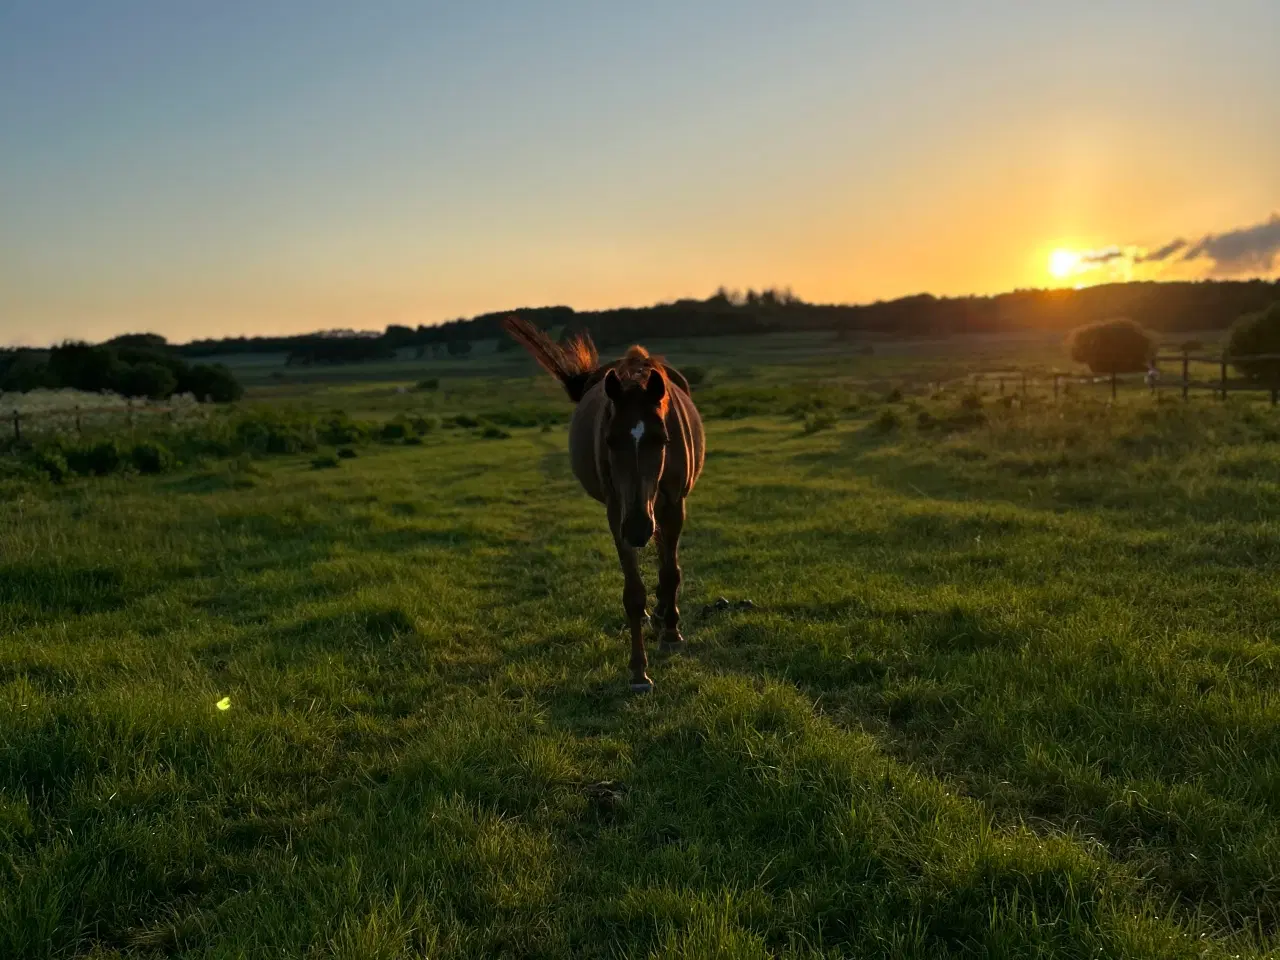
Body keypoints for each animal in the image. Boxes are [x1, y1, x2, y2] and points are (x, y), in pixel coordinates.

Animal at [499, 317, 706, 691]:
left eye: (663, 439)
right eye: (610, 440)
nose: (637, 528)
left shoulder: (673, 505)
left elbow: (671, 572)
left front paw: (671, 632)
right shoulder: (617, 513)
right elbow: (633, 593)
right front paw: (638, 671)